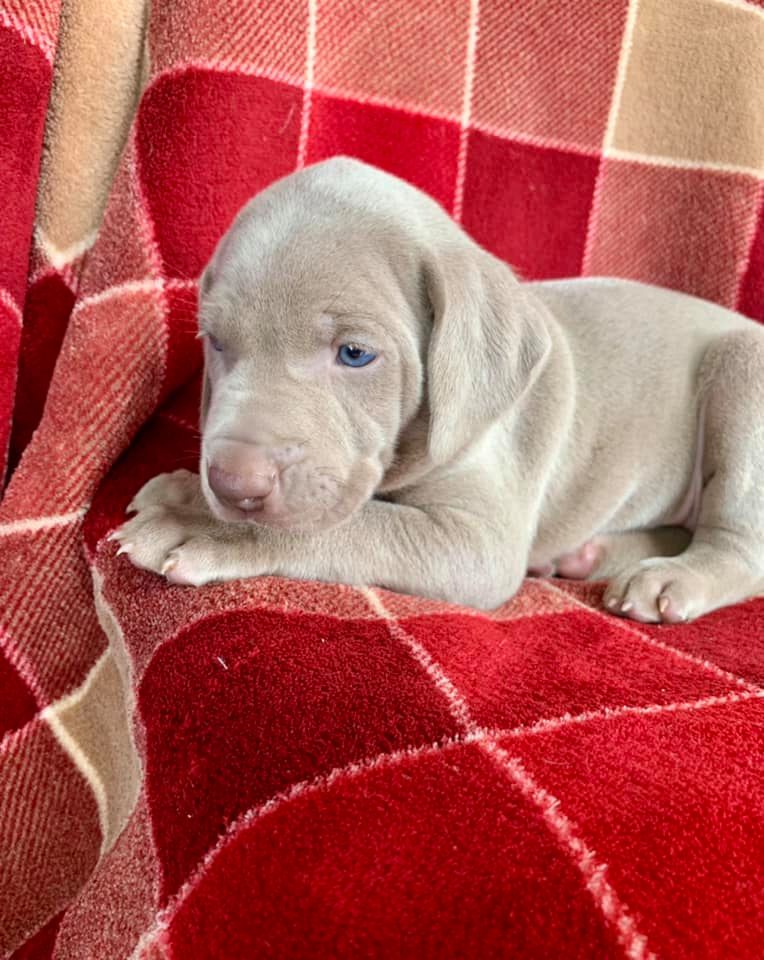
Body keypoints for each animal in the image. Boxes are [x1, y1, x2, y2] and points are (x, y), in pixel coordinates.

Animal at [114, 157, 764, 623]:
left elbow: (356, 524)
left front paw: (204, 527)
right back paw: (587, 555)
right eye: (217, 342)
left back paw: (673, 577)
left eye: (355, 353)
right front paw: (186, 491)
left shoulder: (477, 540)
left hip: (743, 375)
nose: (232, 482)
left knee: (739, 543)